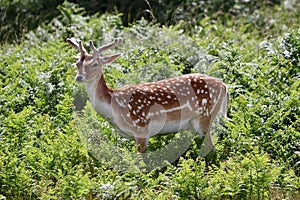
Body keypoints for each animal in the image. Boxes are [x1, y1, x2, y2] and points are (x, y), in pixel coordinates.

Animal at [67, 37, 229, 159]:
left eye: (95, 64)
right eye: (77, 63)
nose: (79, 77)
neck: (114, 108)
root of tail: (224, 86)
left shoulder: (141, 129)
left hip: (205, 116)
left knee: (212, 149)